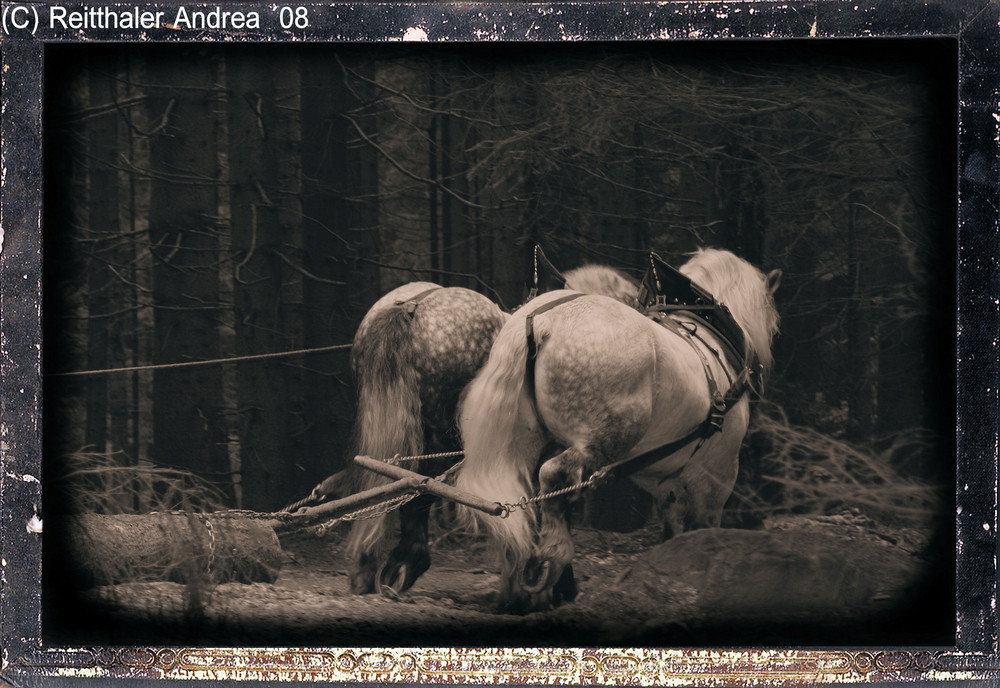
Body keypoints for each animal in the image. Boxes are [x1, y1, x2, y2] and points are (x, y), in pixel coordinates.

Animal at [456, 249, 780, 612]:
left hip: (524, 441)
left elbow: (673, 526)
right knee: (554, 477)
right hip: (598, 441)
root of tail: (540, 322)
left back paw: (520, 581)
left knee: (524, 495)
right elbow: (703, 529)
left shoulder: (663, 478)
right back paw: (550, 563)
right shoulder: (717, 474)